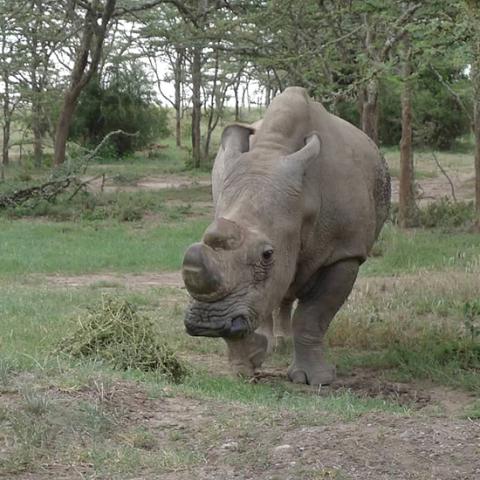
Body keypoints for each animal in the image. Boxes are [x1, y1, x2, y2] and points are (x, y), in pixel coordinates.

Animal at [181, 87, 390, 386]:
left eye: (267, 255)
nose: (206, 324)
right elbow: (255, 296)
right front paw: (243, 369)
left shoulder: (345, 252)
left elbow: (313, 314)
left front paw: (317, 380)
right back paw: (274, 346)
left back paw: (283, 344)